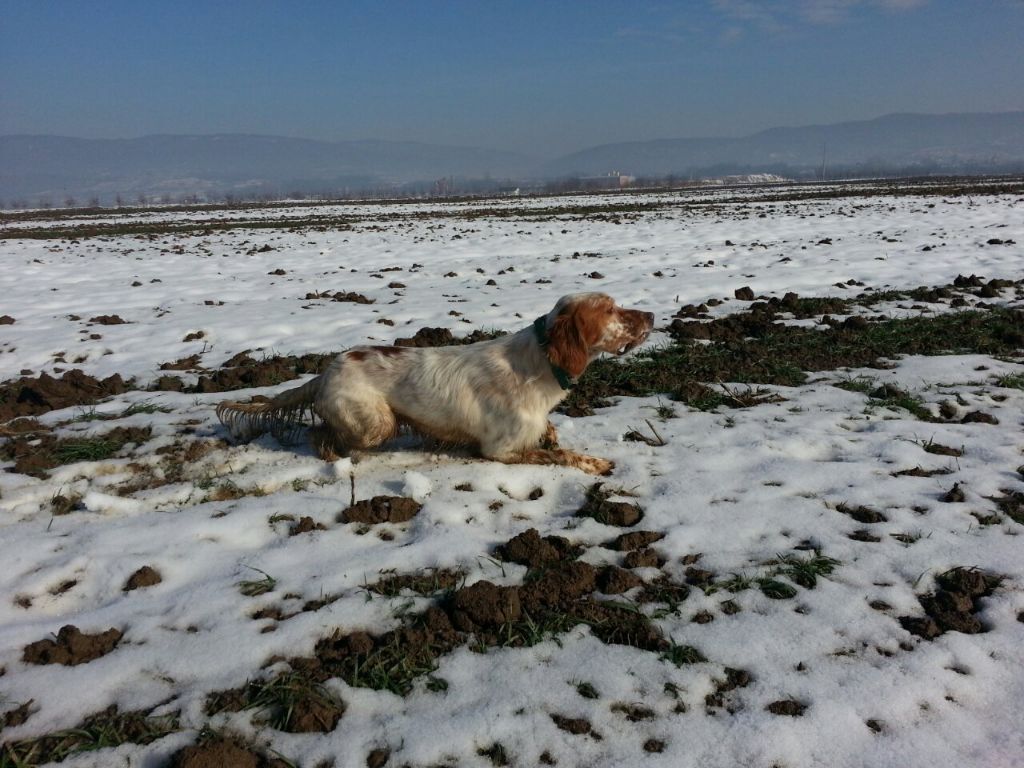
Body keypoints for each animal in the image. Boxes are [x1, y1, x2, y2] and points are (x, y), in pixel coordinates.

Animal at [218, 292, 655, 475]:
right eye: (610, 309)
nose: (652, 314)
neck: (541, 362)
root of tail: (326, 370)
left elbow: (552, 435)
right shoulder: (498, 451)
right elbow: (559, 454)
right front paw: (595, 463)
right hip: (377, 424)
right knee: (321, 434)